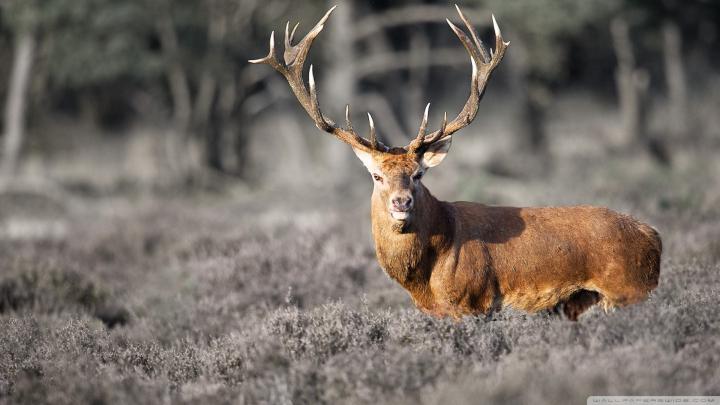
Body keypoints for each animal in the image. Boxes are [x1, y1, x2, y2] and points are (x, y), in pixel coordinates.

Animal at [249, 5, 662, 321]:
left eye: (418, 174)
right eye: (377, 176)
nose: (402, 202)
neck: (425, 279)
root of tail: (654, 237)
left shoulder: (473, 302)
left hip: (628, 289)